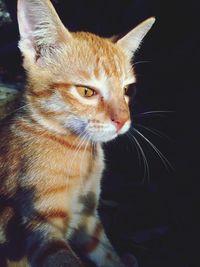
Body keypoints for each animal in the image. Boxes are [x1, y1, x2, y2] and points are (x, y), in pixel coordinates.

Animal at [0, 0, 155, 267]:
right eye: (86, 92)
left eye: (127, 90)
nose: (123, 120)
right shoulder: (42, 227)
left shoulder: (88, 221)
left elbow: (110, 255)